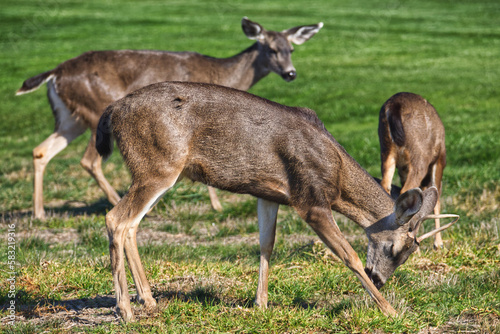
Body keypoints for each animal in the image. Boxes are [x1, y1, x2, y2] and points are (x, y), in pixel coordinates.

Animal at [15, 17, 322, 219]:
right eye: (271, 49)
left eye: (291, 49)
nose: (291, 73)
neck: (224, 74)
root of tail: (54, 73)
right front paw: (217, 205)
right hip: (95, 110)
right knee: (89, 161)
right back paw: (120, 203)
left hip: (71, 118)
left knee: (41, 150)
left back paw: (40, 213)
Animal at [376, 92, 448, 249]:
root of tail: (394, 106)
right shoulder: (439, 161)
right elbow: (437, 199)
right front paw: (438, 244)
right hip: (420, 156)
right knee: (406, 190)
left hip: (386, 150)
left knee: (385, 185)